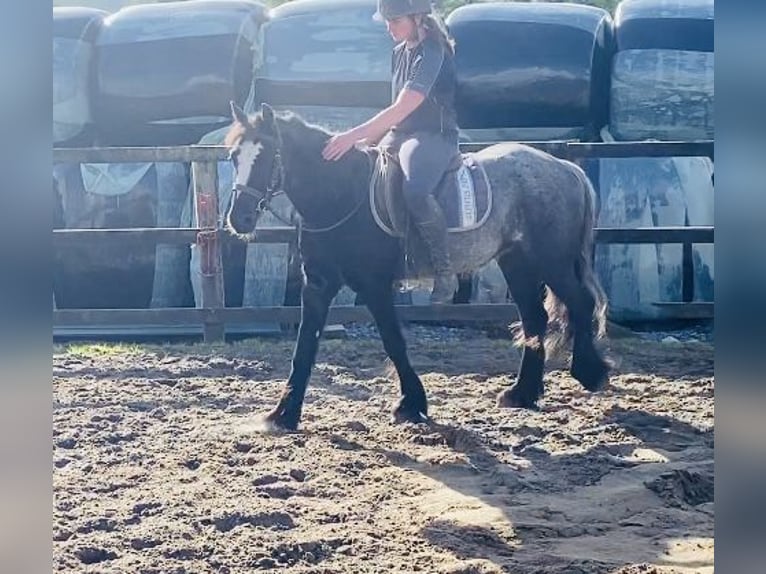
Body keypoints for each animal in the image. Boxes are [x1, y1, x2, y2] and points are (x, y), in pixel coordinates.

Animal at [225, 102, 608, 432]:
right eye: (233, 157)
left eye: (267, 155)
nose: (238, 219)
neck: (340, 193)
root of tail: (565, 168)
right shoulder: (318, 284)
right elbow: (304, 348)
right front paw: (284, 414)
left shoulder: (374, 285)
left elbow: (394, 341)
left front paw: (412, 404)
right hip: (517, 261)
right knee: (534, 318)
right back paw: (522, 393)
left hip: (552, 260)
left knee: (580, 303)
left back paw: (590, 373)